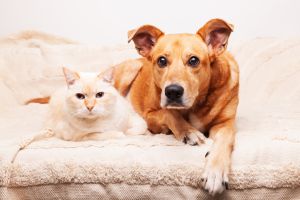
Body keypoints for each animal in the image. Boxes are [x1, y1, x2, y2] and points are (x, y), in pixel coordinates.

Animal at [115, 18, 239, 194]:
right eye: (161, 61)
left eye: (193, 60)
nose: (172, 91)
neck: (195, 105)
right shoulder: (149, 116)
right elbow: (169, 114)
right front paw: (188, 132)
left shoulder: (225, 123)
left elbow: (225, 140)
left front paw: (215, 171)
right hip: (129, 70)